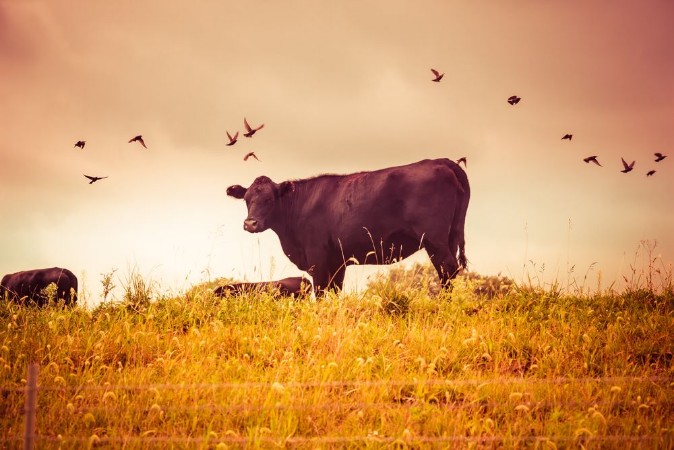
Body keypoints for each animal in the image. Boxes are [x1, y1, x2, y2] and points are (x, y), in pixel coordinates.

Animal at [226, 158, 470, 294]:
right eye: (247, 199)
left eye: (269, 199)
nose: (250, 223)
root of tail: (440, 161)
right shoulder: (338, 262)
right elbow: (335, 293)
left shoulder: (317, 258)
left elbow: (321, 293)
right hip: (447, 238)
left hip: (434, 239)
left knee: (448, 269)